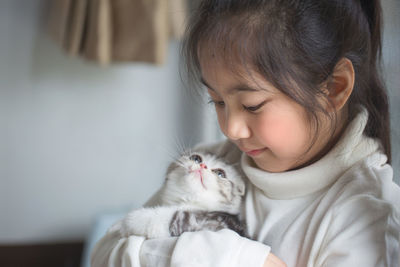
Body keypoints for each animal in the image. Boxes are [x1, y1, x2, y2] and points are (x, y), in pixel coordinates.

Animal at [116, 152, 247, 240]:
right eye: (196, 158)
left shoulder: (214, 223)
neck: (188, 201)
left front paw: (132, 219)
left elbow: (175, 216)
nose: (202, 166)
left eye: (220, 174)